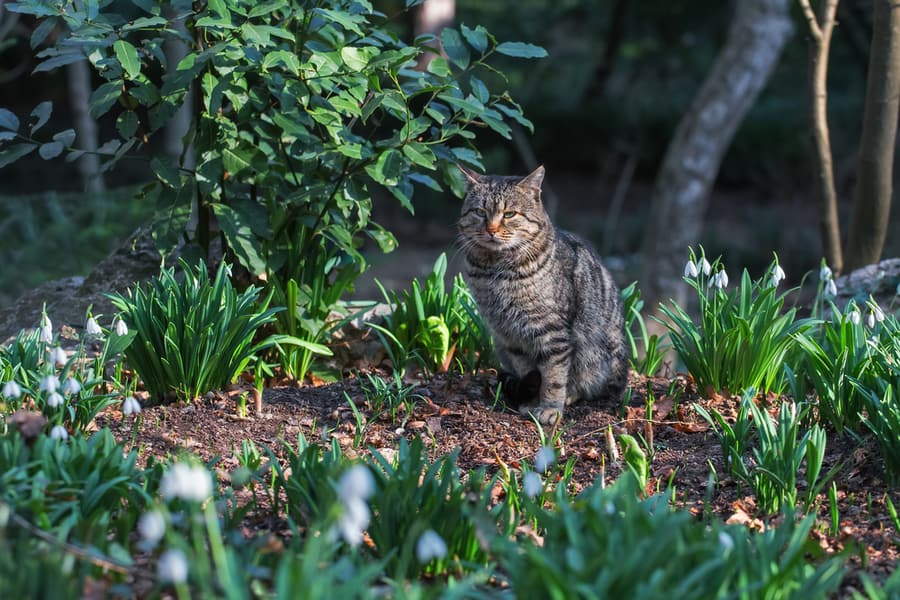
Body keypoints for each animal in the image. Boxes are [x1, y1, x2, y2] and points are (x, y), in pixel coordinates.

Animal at [458, 166, 624, 424]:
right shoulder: (509, 335)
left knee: (591, 385)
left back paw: (570, 395)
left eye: (509, 214)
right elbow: (528, 370)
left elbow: (554, 376)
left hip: (595, 352)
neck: (495, 271)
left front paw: (549, 408)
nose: (491, 230)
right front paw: (531, 401)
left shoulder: (551, 332)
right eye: (479, 212)